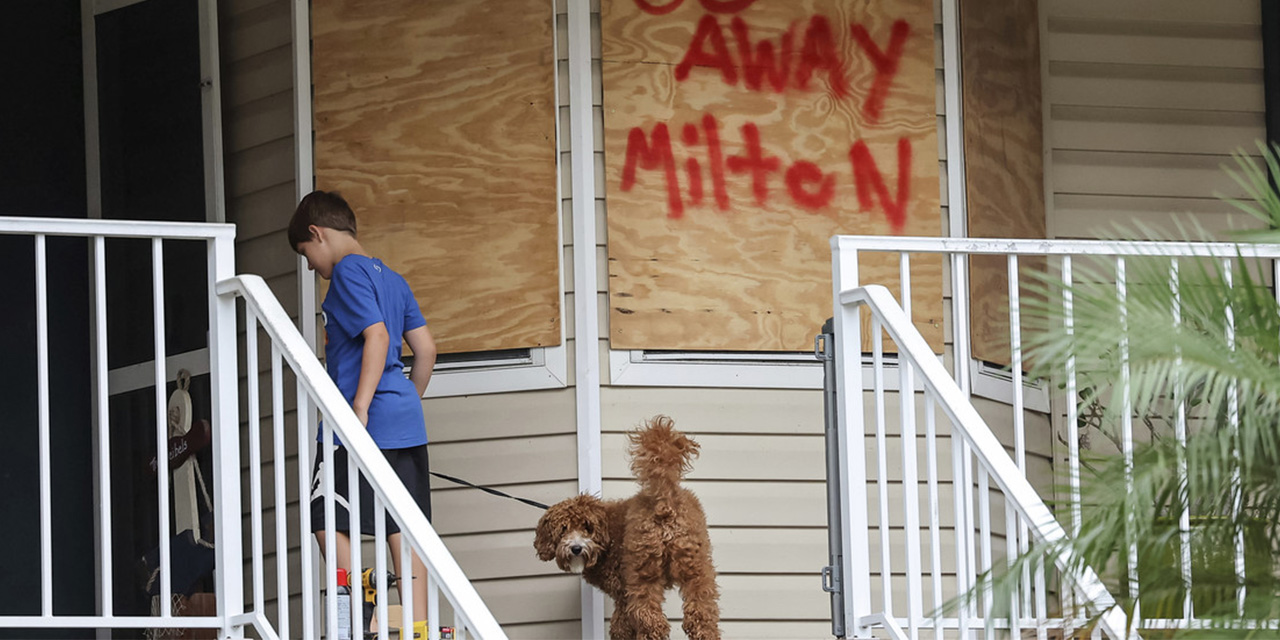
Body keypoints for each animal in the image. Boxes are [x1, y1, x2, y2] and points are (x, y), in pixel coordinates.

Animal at [529, 417, 721, 637]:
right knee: (701, 615)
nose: (576, 548)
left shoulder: (622, 593)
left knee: (651, 620)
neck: (606, 539)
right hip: (695, 567)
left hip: (642, 572)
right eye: (563, 529)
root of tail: (664, 500)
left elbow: (620, 627)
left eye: (587, 527)